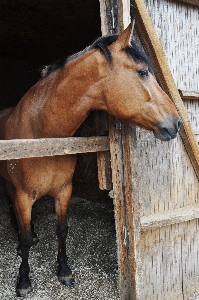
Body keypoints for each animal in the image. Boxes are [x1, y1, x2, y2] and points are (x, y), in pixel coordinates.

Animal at [0, 21, 182, 298]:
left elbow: (62, 230)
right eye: (142, 72)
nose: (177, 123)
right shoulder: (23, 196)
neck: (42, 133)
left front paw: (64, 271)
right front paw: (23, 281)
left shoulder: (64, 191)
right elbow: (25, 238)